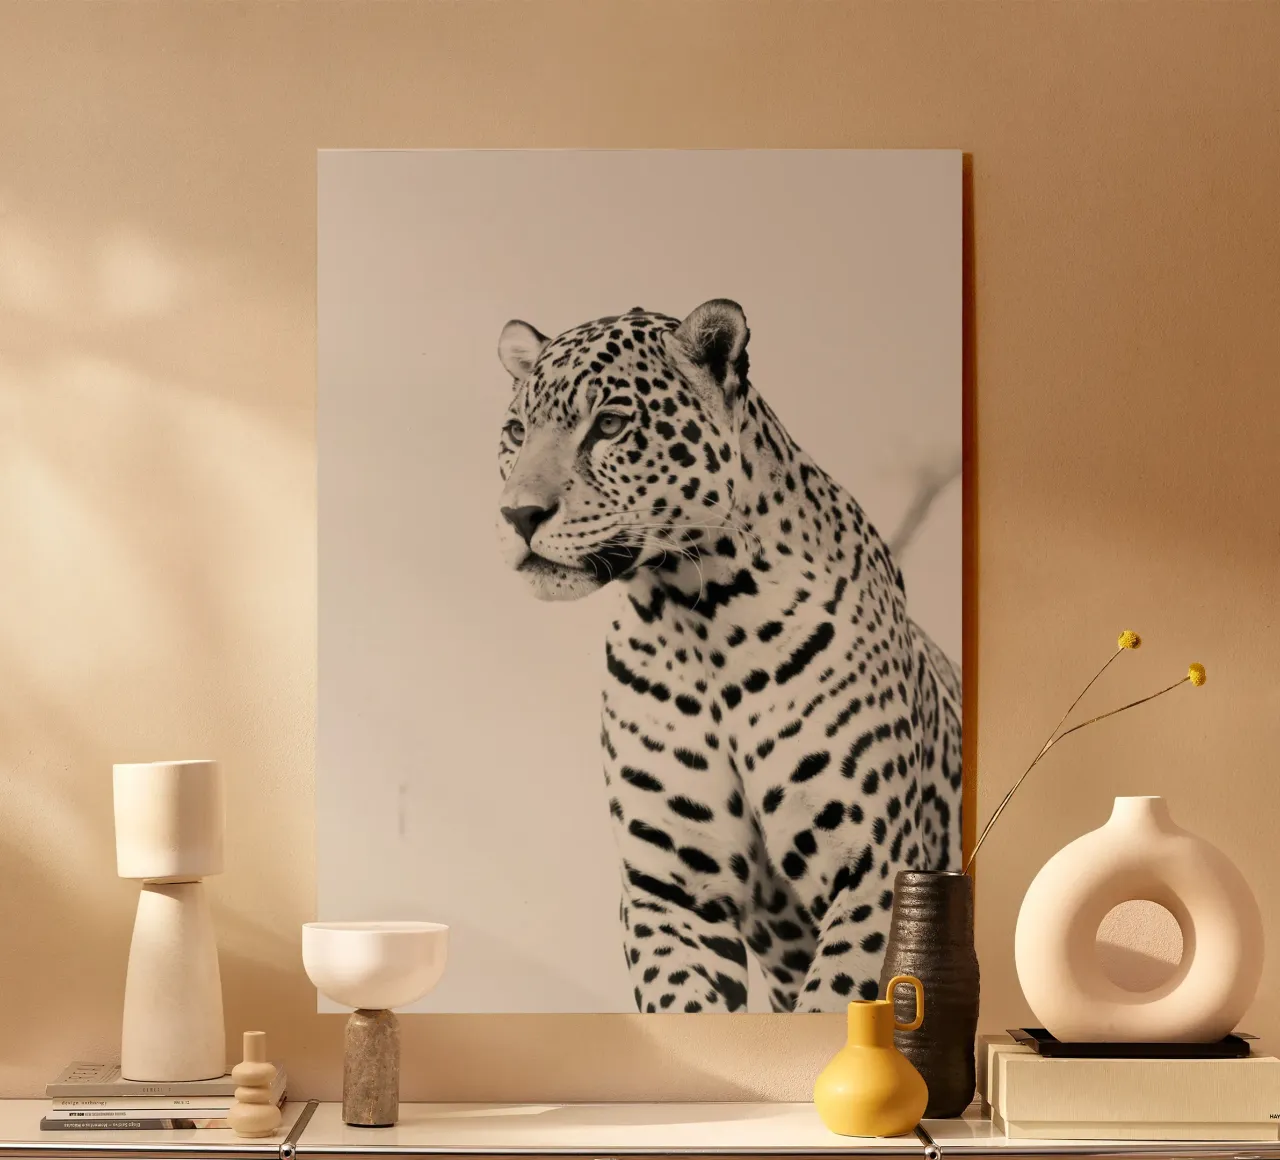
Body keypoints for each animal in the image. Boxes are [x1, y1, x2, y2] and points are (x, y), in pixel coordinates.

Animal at [494, 299, 962, 1013]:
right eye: (517, 431)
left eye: (609, 425)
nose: (518, 515)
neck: (698, 616)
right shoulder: (672, 890)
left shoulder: (873, 869)